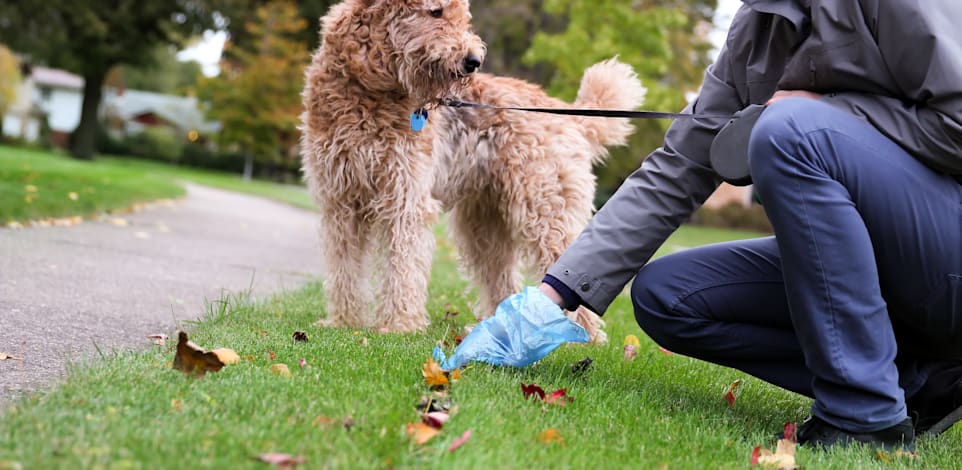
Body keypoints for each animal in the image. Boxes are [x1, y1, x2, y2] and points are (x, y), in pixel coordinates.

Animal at [300, 0, 644, 342]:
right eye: (436, 12)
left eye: (463, 17)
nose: (473, 61)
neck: (367, 88)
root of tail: (571, 116)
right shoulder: (340, 200)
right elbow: (344, 266)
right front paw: (344, 321)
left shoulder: (405, 198)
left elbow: (402, 266)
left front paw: (399, 325)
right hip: (484, 224)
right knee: (502, 277)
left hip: (545, 208)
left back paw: (580, 337)